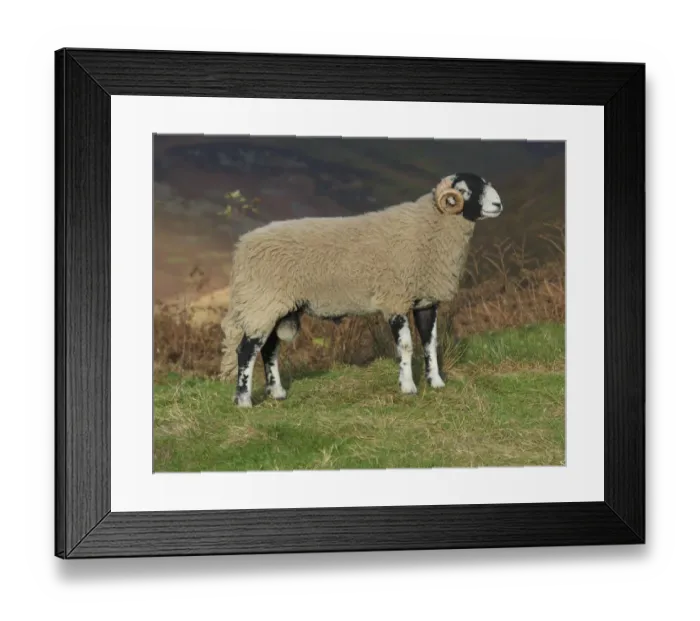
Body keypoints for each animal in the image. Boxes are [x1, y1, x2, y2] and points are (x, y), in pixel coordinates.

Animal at [219, 172, 504, 407]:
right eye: (464, 190)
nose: (499, 205)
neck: (430, 227)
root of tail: (242, 246)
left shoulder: (426, 300)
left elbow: (430, 343)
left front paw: (436, 382)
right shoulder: (395, 299)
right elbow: (406, 346)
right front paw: (408, 386)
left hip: (278, 308)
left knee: (269, 349)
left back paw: (276, 392)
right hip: (261, 302)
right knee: (245, 351)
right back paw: (244, 401)